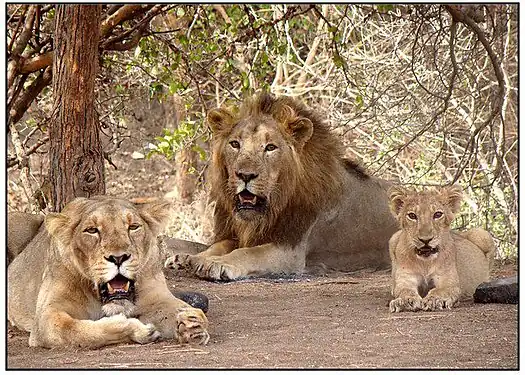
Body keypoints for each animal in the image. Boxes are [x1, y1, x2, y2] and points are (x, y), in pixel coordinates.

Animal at [7, 198, 209, 348]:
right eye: (92, 230)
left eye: (133, 227)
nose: (119, 258)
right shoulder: (46, 316)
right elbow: (78, 332)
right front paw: (137, 330)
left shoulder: (156, 298)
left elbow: (178, 308)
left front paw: (192, 323)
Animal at [167, 92, 398, 280]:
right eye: (235, 144)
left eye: (270, 147)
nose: (245, 175)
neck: (274, 206)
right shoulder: (241, 234)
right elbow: (219, 245)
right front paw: (191, 258)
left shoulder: (291, 250)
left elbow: (249, 253)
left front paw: (216, 264)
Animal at [386, 184, 494, 312]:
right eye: (412, 216)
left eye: (437, 214)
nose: (426, 240)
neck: (425, 263)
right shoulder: (406, 279)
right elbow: (404, 290)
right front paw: (405, 301)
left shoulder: (449, 282)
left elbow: (439, 290)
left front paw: (434, 300)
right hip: (393, 238)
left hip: (482, 234)